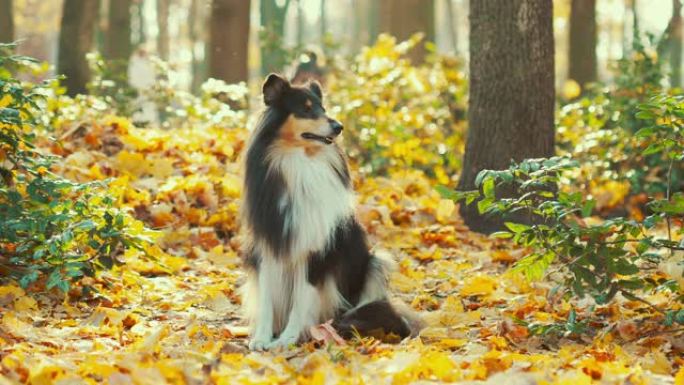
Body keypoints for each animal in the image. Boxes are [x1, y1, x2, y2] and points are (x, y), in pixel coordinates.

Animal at [243, 73, 416, 350]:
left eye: (322, 108)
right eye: (306, 109)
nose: (338, 126)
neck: (300, 161)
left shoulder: (315, 251)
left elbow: (302, 298)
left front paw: (289, 337)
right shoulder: (269, 244)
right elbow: (267, 299)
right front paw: (261, 338)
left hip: (377, 262)